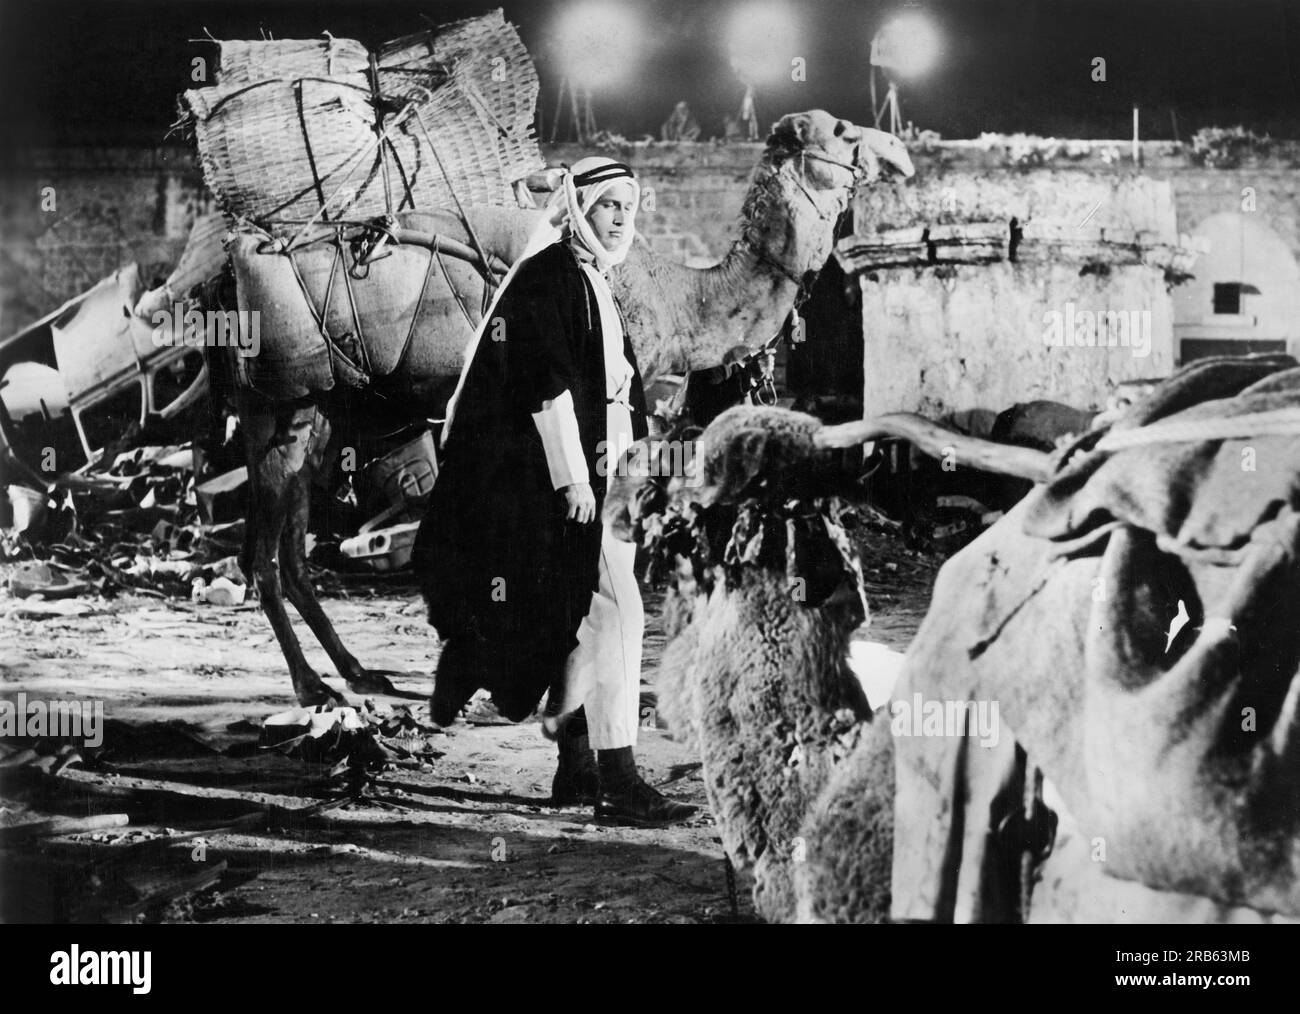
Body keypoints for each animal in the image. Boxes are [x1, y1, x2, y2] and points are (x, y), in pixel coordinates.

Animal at [220, 109, 915, 707]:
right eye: (844, 131)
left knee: (290, 548)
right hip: (277, 405)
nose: (902, 156)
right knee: (263, 554)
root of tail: (220, 277)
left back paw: (359, 673)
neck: (681, 299)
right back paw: (313, 687)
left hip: (314, 411)